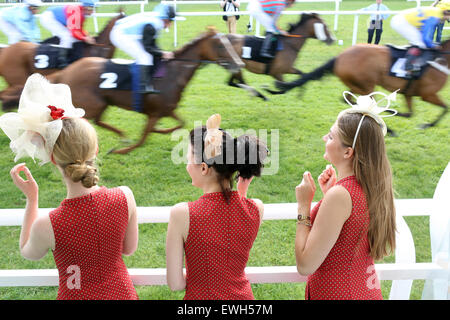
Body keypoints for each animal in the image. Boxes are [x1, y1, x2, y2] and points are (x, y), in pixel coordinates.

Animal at [7, 29, 244, 154]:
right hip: (92, 103)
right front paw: (124, 150)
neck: (172, 74)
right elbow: (144, 136)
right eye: (221, 46)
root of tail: (68, 69)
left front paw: (160, 132)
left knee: (96, 120)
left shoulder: (166, 110)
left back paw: (121, 136)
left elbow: (179, 123)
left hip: (100, 103)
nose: (238, 64)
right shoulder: (155, 112)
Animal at [274, 40, 450, 130]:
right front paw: (427, 124)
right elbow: (445, 108)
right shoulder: (428, 94)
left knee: (350, 100)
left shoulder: (409, 93)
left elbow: (410, 113)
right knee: (365, 104)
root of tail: (340, 57)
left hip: (357, 85)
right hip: (366, 85)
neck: (440, 60)